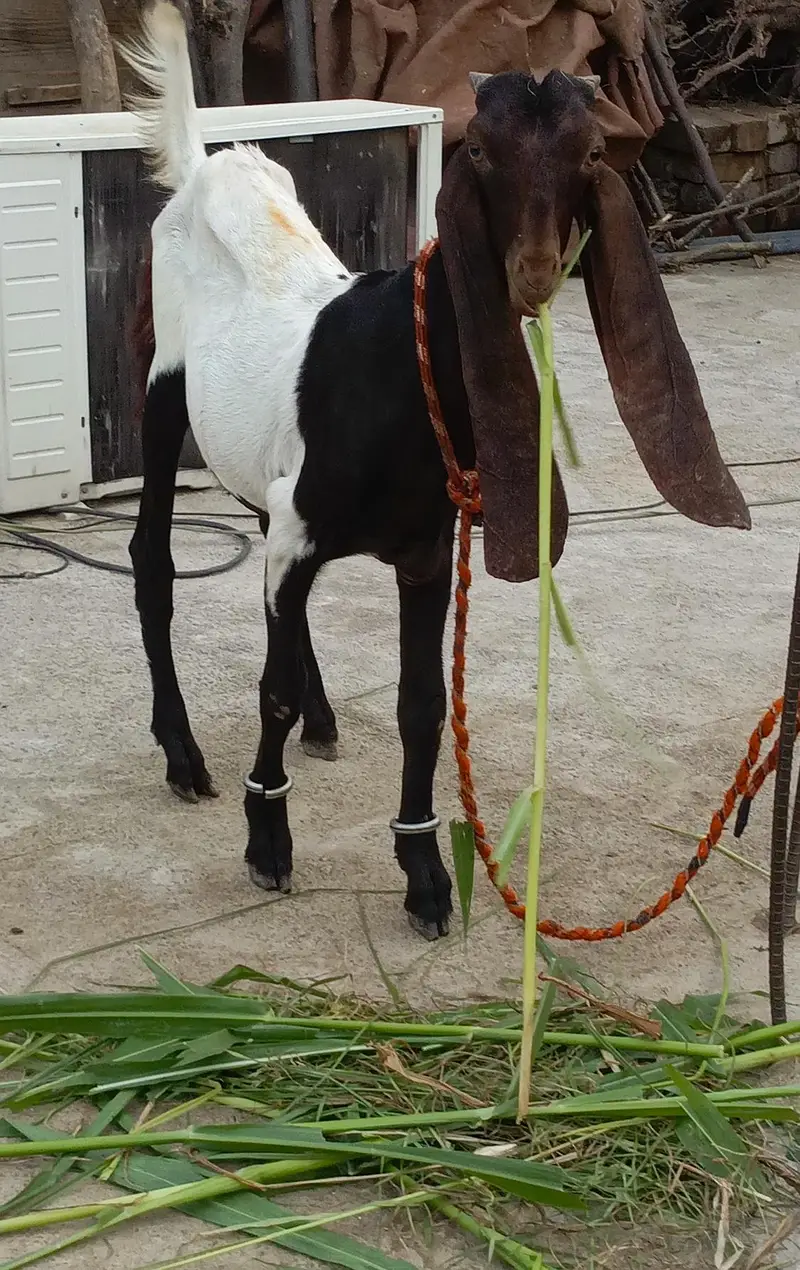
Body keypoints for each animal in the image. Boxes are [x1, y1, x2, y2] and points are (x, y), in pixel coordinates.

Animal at [125, 1, 750, 940]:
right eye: (480, 149)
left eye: (590, 154)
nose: (533, 273)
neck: (400, 370)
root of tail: (209, 166)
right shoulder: (305, 529)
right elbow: (270, 689)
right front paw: (267, 838)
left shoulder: (422, 549)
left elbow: (420, 706)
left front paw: (424, 873)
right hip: (166, 383)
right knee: (152, 560)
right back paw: (183, 753)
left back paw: (320, 719)